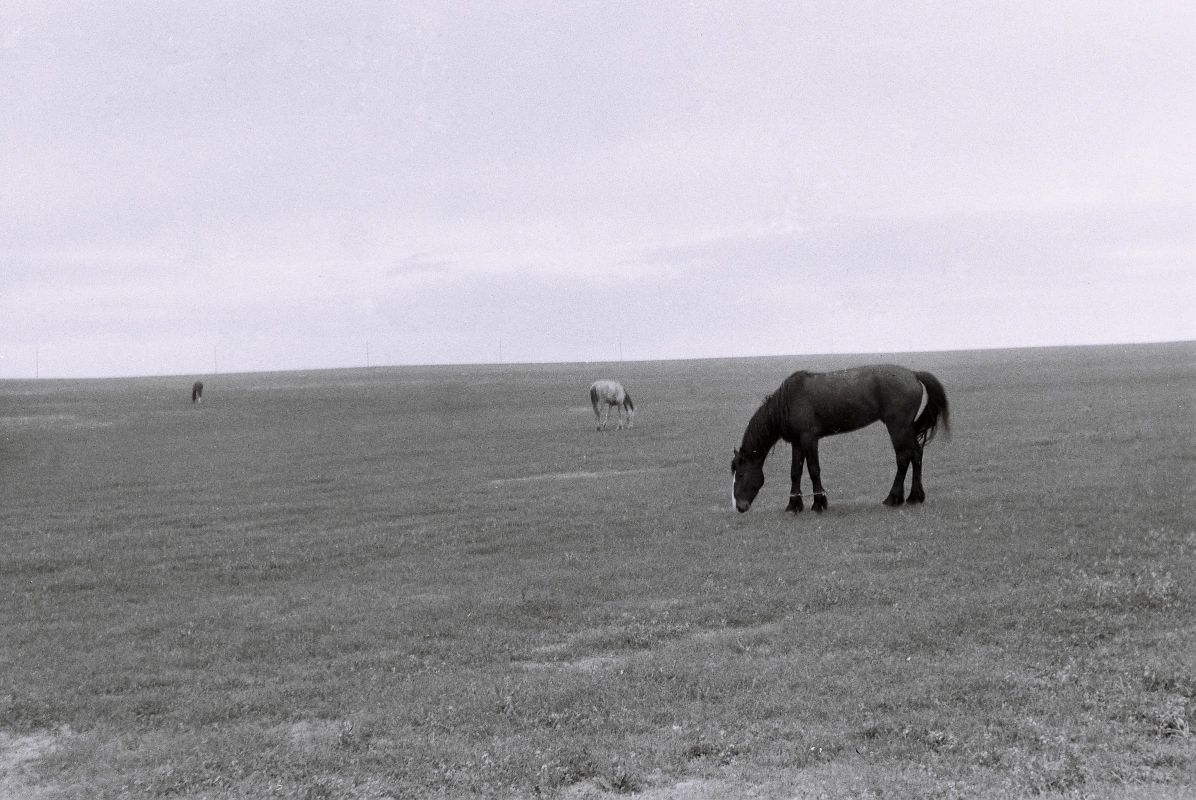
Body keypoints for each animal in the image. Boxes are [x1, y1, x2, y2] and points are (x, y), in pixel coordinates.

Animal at [731, 365, 947, 514]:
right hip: (906, 429)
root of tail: (912, 374)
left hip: (897, 427)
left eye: (740, 475)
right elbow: (795, 472)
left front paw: (819, 503)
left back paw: (893, 498)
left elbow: (813, 470)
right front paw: (793, 505)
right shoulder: (797, 442)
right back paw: (914, 496)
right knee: (916, 455)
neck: (790, 401)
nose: (739, 506)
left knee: (903, 458)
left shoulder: (809, 439)